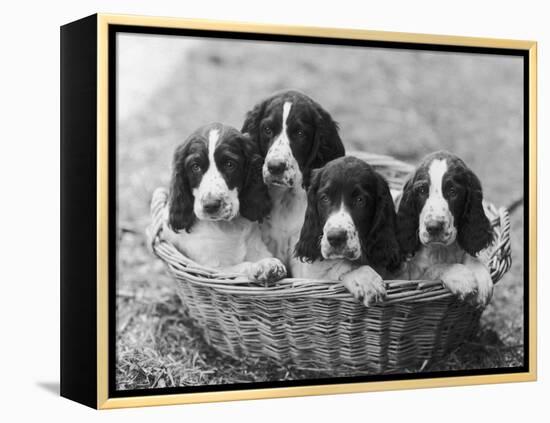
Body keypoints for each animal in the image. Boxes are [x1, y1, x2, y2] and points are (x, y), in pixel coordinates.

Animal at [158, 121, 286, 284]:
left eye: (230, 164)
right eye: (195, 167)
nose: (211, 205)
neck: (229, 227)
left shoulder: (258, 248)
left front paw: (268, 264)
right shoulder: (211, 268)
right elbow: (240, 266)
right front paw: (262, 266)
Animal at [396, 151, 496, 306]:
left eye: (453, 191)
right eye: (422, 190)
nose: (433, 227)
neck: (440, 250)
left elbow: (470, 255)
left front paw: (481, 276)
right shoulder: (408, 277)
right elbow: (431, 270)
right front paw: (460, 276)